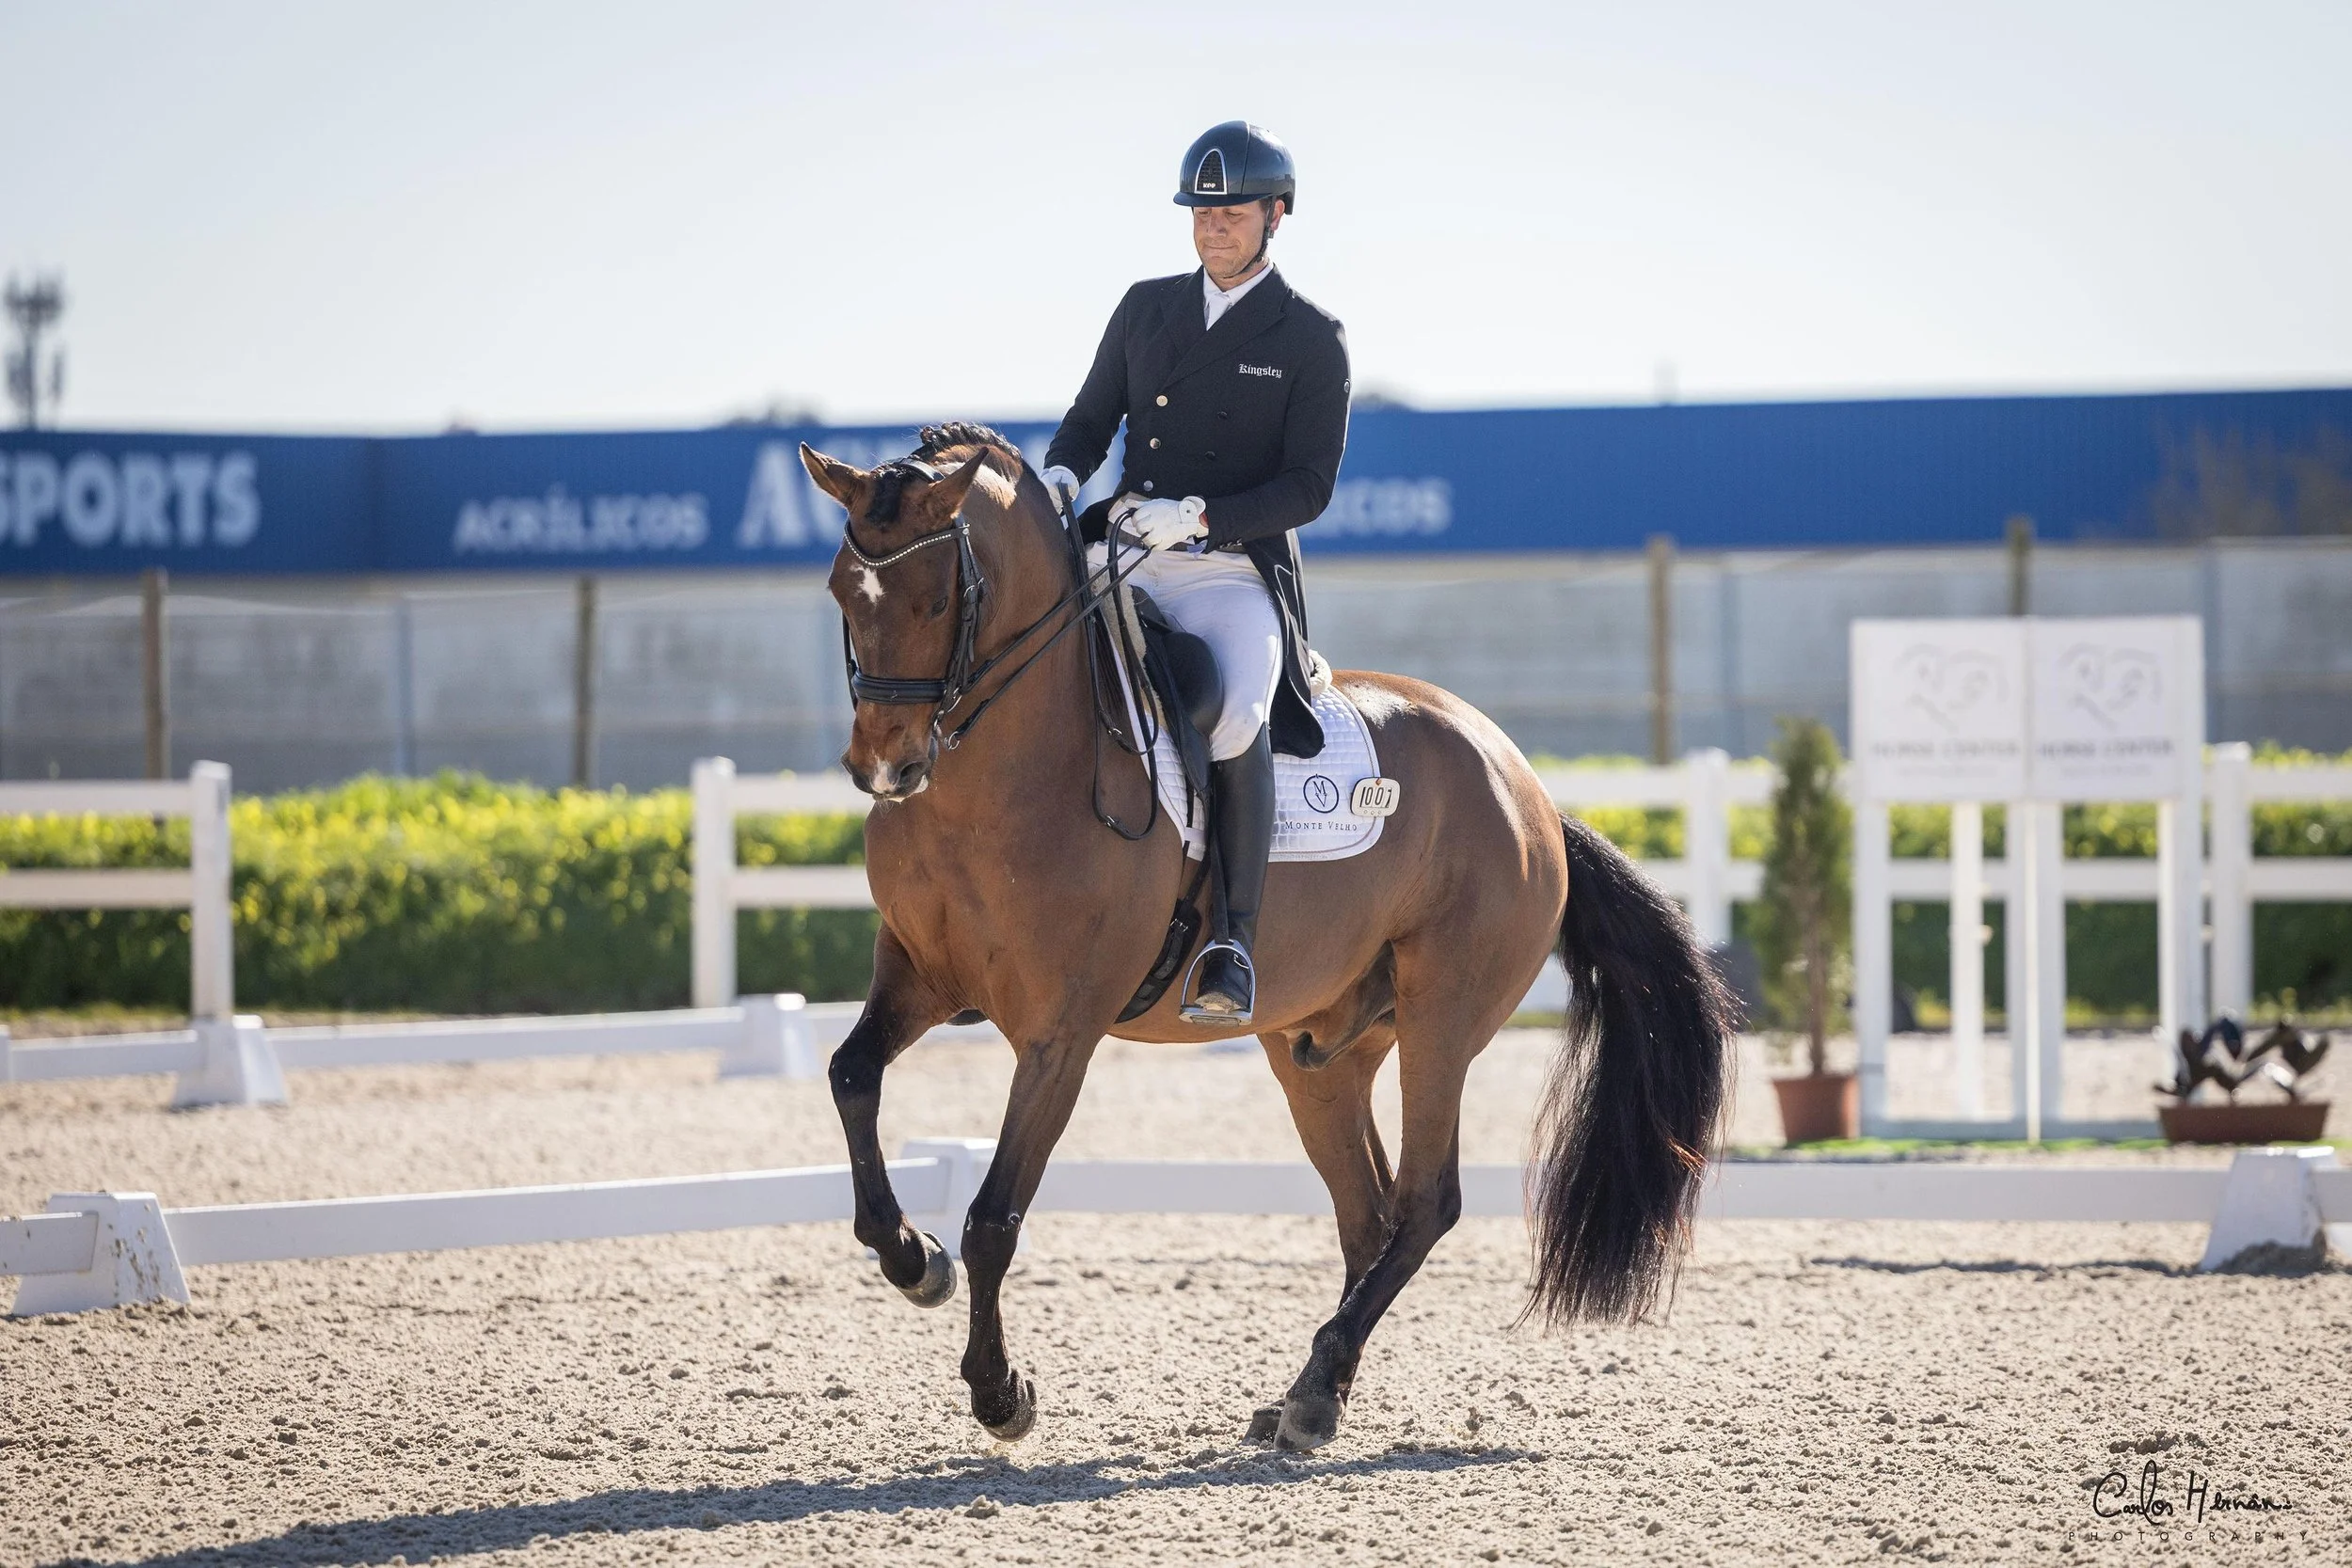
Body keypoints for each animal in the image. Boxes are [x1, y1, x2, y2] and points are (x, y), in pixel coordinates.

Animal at [799, 423, 1730, 1452]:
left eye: (937, 598)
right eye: (843, 592)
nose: (885, 768)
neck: (995, 778)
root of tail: (1525, 783)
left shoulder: (1060, 1032)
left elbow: (996, 1213)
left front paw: (1001, 1392)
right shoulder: (918, 975)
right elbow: (850, 1075)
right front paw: (911, 1258)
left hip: (1442, 1019)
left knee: (1424, 1203)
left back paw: (1316, 1388)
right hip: (1317, 1048)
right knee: (1368, 1212)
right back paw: (1308, 1391)